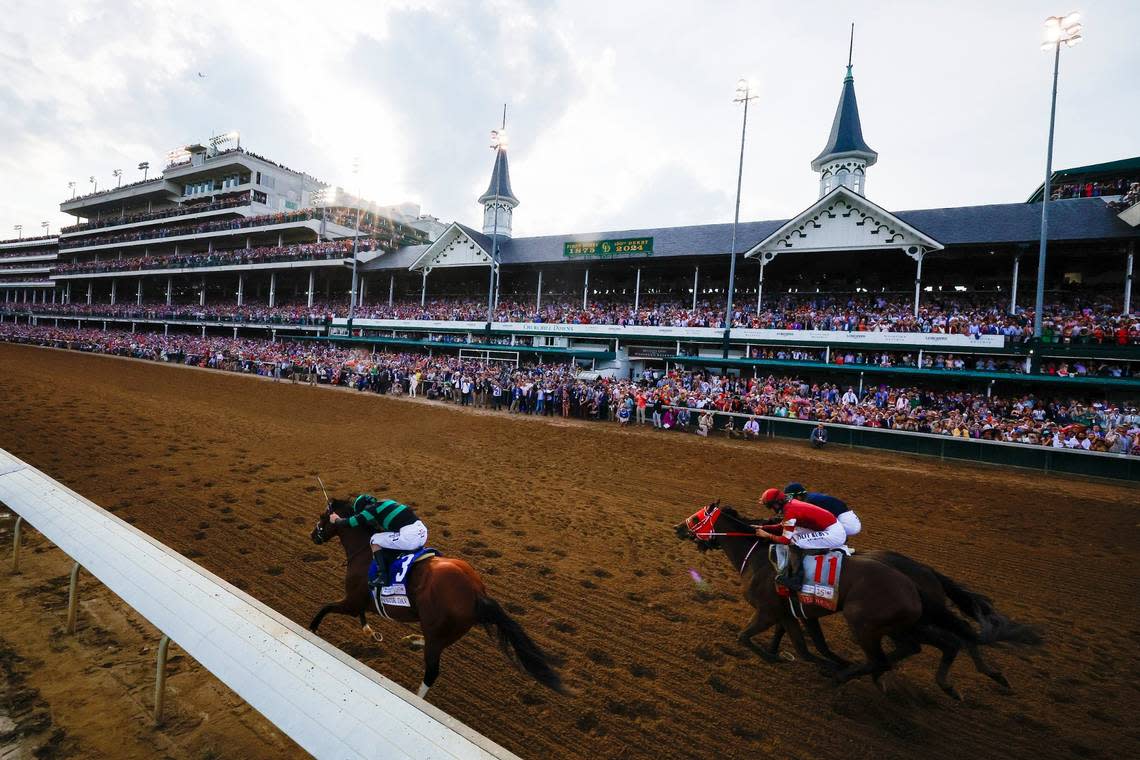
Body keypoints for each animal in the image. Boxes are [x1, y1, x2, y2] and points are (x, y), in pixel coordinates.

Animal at [310, 499, 563, 701]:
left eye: (323, 516)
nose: (313, 535)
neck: (364, 552)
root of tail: (476, 593)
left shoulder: (352, 601)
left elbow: (325, 608)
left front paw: (312, 629)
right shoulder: (360, 601)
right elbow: (361, 614)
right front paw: (371, 633)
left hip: (438, 627)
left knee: (432, 671)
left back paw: (417, 695)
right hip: (449, 629)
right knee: (435, 645)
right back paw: (413, 640)